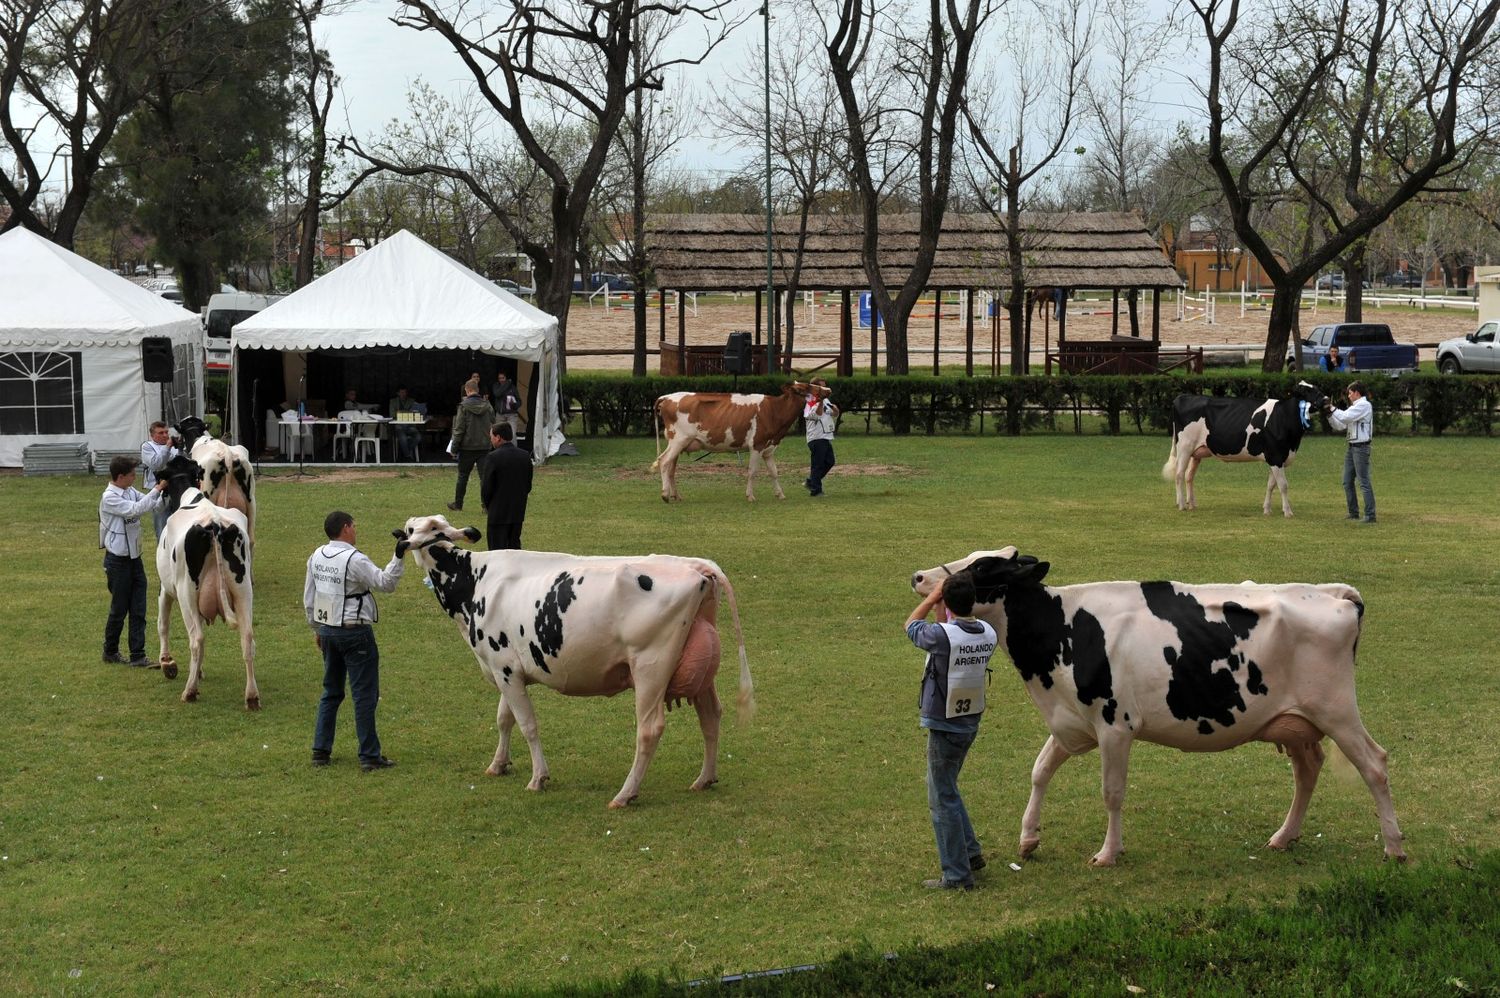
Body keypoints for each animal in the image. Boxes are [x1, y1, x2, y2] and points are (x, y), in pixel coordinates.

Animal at [156, 483, 259, 708]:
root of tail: (215, 524)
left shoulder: (166, 588)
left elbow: (163, 623)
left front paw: (167, 663)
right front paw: (198, 671)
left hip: (187, 595)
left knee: (197, 639)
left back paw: (190, 691)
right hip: (244, 591)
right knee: (247, 638)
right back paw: (252, 696)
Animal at [393, 516, 756, 804]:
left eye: (413, 529)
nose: (401, 536)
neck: (473, 580)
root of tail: (694, 564)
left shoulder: (505, 669)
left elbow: (527, 724)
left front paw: (538, 777)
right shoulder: (504, 668)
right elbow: (504, 719)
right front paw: (498, 764)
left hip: (651, 667)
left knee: (650, 729)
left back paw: (625, 794)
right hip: (699, 668)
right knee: (711, 715)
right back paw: (704, 779)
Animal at [651, 384, 828, 501]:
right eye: (806, 387)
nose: (827, 389)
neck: (774, 410)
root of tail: (666, 397)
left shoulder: (769, 448)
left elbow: (773, 472)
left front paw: (780, 494)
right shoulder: (757, 445)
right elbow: (752, 471)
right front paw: (750, 496)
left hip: (677, 443)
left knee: (671, 468)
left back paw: (676, 496)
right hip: (679, 440)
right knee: (664, 461)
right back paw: (665, 495)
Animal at [906, 546, 1410, 864]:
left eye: (980, 568)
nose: (920, 576)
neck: (1060, 629)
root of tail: (1332, 592)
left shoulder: (1115, 725)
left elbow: (1111, 792)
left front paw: (1108, 853)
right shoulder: (1072, 723)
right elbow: (1040, 771)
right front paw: (1028, 839)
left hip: (1337, 710)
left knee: (1374, 764)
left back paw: (1394, 846)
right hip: (1295, 722)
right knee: (1308, 770)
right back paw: (1284, 838)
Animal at [1164, 381, 1332, 516]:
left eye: (1317, 388)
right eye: (1305, 391)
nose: (1326, 400)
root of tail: (1181, 397)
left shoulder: (1276, 459)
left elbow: (1271, 485)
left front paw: (1267, 509)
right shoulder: (1276, 457)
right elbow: (1283, 485)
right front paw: (1288, 511)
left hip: (1196, 452)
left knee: (1189, 476)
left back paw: (1191, 504)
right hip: (1184, 447)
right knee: (1179, 474)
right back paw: (1181, 505)